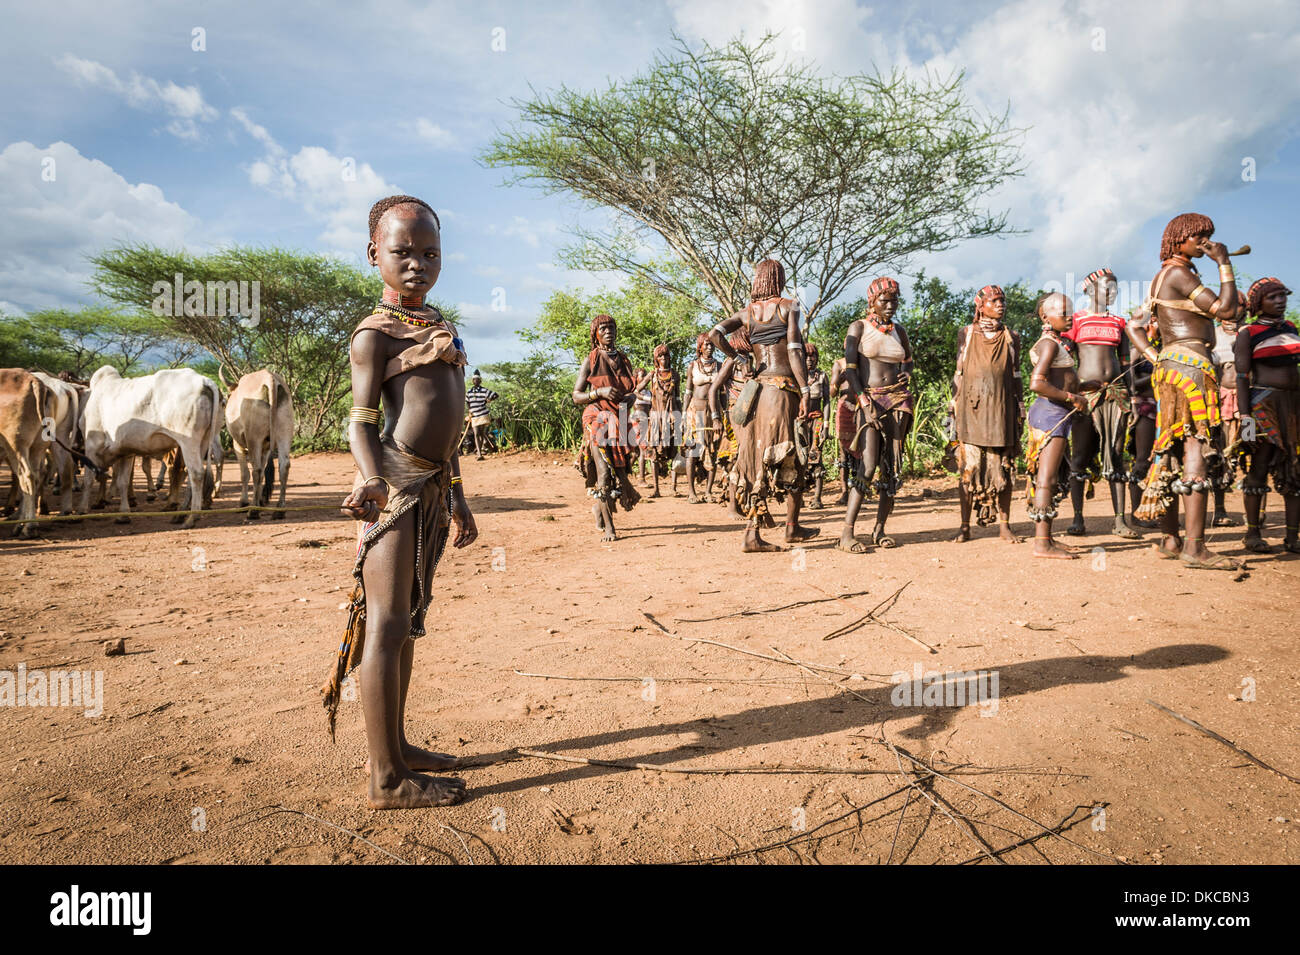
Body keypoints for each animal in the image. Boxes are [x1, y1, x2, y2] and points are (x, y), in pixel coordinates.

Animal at [79, 369, 220, 530]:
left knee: (196, 474)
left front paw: (82, 510)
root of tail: (203, 381)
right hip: (203, 441)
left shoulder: (91, 447)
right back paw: (181, 514)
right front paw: (123, 515)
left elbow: (88, 480)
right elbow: (123, 482)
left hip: (188, 442)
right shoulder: (126, 452)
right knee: (189, 474)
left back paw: (191, 517)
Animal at [223, 369, 295, 519]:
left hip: (253, 438)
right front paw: (260, 501)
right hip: (284, 433)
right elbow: (263, 472)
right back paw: (279, 510)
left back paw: (253, 511)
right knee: (283, 466)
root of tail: (270, 378)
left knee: (256, 470)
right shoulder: (265, 449)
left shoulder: (238, 445)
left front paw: (244, 503)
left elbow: (245, 474)